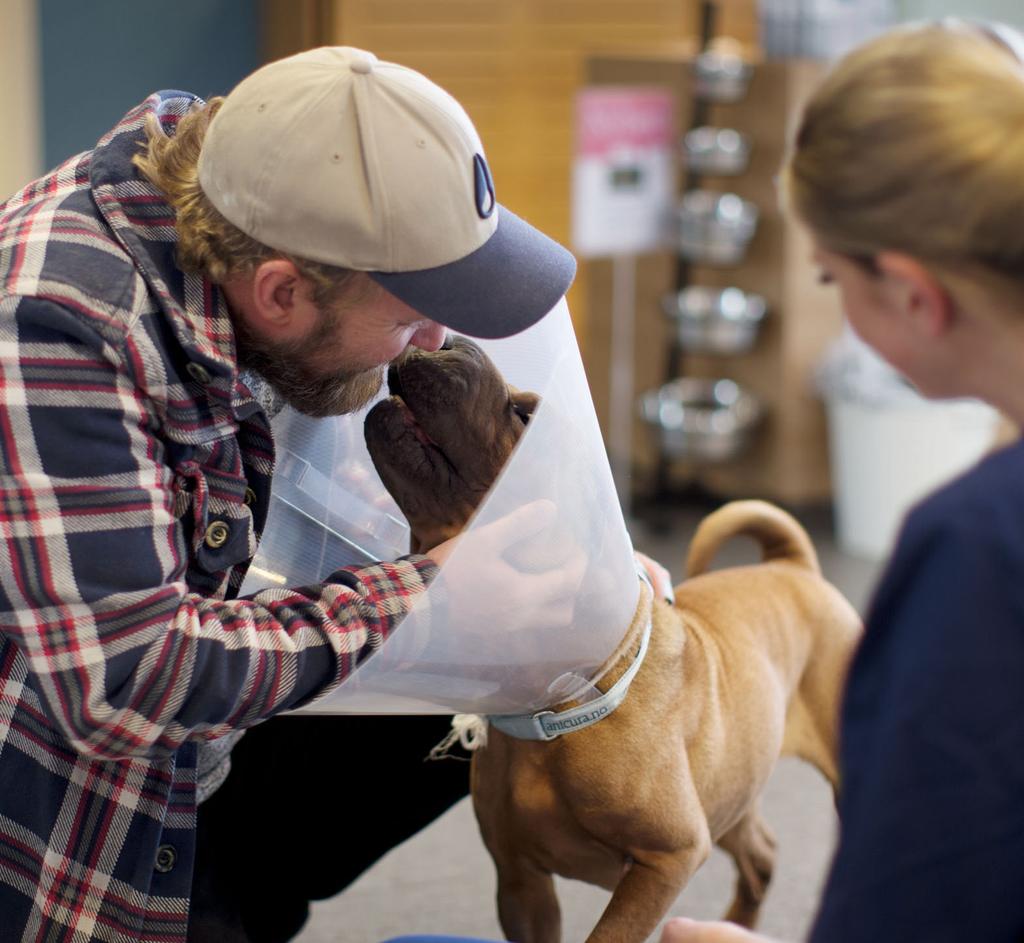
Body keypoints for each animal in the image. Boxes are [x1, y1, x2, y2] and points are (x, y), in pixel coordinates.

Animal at [364, 335, 860, 941]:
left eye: (525, 416)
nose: (455, 340)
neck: (556, 703)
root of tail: (795, 565)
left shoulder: (669, 857)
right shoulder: (521, 882)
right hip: (734, 783)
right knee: (761, 855)